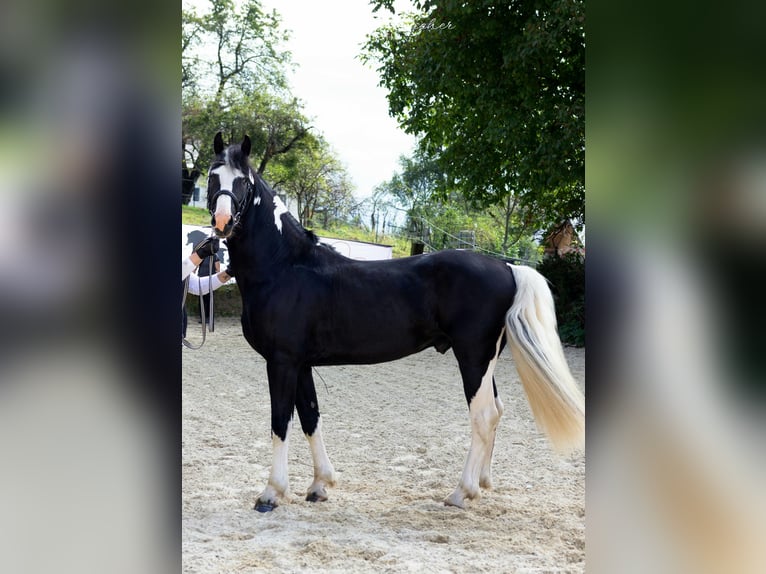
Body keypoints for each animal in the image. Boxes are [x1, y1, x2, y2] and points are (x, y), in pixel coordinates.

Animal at [207, 134, 584, 512]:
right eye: (212, 176)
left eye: (243, 182)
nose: (223, 221)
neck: (285, 266)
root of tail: (508, 267)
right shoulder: (301, 364)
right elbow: (310, 418)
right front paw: (319, 485)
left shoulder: (281, 362)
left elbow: (280, 422)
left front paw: (271, 493)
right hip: (484, 362)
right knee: (497, 411)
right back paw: (481, 484)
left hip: (473, 358)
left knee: (484, 416)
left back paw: (461, 492)